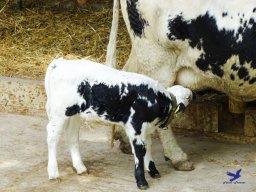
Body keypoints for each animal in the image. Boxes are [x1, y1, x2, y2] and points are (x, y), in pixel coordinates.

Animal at [45, 57, 193, 189]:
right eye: (188, 97)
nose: (193, 93)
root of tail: (61, 62)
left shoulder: (146, 129)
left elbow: (148, 148)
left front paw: (153, 170)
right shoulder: (135, 127)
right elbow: (140, 151)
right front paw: (141, 181)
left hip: (75, 114)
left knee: (72, 136)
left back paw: (80, 168)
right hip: (59, 113)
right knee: (52, 138)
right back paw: (54, 173)